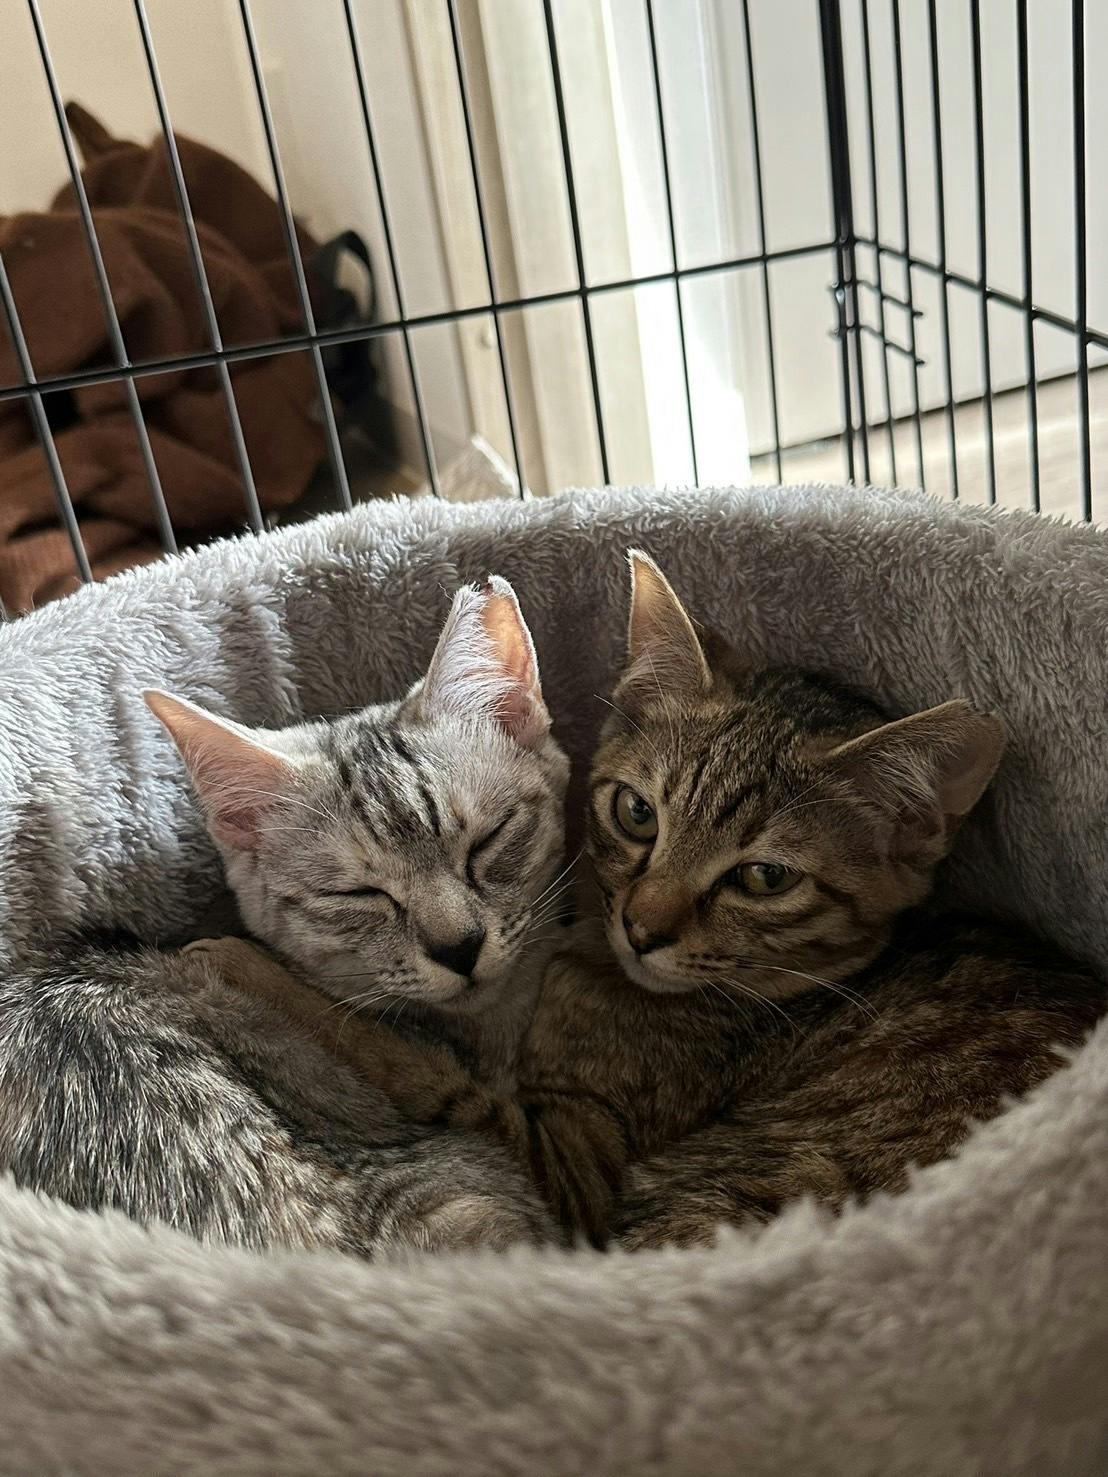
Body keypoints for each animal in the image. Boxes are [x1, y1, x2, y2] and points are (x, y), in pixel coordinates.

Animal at [192, 552, 1107, 1249]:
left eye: (765, 878)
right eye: (637, 812)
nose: (641, 926)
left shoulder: (571, 1173)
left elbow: (404, 1062)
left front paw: (243, 968)